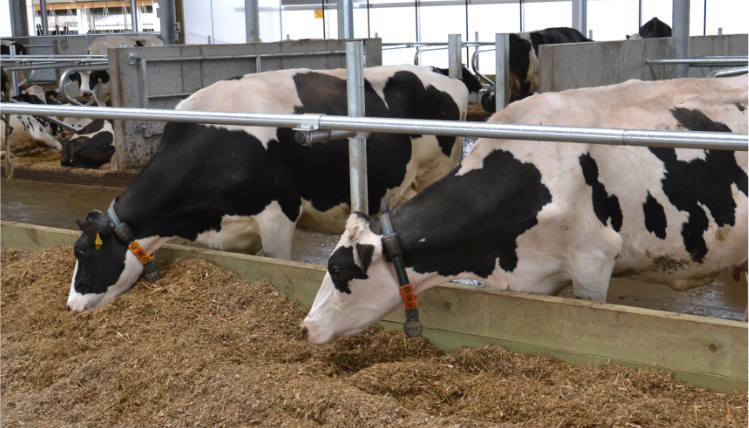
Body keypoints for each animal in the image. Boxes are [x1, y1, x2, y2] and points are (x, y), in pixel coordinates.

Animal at [68, 63, 468, 310]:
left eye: (83, 253)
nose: (71, 305)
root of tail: (447, 76)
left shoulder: (279, 214)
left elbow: (279, 263)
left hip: (438, 171)